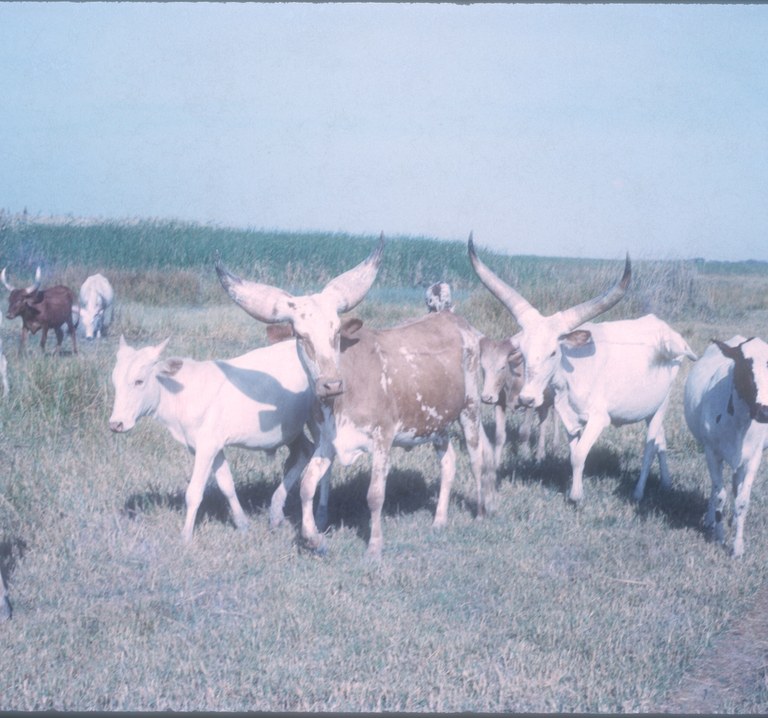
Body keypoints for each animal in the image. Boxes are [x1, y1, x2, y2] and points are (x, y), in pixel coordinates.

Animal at [106, 338, 328, 544]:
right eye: (114, 383)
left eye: (139, 381)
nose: (116, 424)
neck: (180, 393)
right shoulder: (213, 446)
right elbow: (226, 484)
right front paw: (242, 523)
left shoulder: (207, 445)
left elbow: (194, 492)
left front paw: (185, 536)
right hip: (290, 428)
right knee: (305, 451)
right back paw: (276, 510)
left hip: (318, 421)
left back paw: (320, 513)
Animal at [214, 238, 498, 564]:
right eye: (300, 335)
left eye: (337, 331)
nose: (331, 384)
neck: (342, 398)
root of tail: (451, 317)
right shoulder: (327, 441)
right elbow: (308, 486)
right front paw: (314, 539)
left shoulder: (382, 439)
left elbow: (375, 495)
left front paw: (374, 546)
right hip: (435, 423)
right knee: (448, 462)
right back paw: (439, 520)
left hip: (470, 409)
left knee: (476, 459)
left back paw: (480, 512)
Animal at [480, 338, 560, 466]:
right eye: (483, 367)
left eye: (502, 367)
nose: (486, 397)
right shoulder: (499, 403)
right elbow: (499, 436)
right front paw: (496, 463)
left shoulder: (529, 405)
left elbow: (524, 433)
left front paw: (525, 456)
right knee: (543, 420)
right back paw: (540, 455)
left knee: (556, 418)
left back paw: (555, 449)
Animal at [684, 334, 768, 560]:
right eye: (744, 366)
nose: (764, 412)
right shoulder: (712, 452)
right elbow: (720, 494)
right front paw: (719, 536)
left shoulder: (755, 457)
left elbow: (742, 500)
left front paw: (737, 547)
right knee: (716, 488)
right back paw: (711, 519)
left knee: (736, 484)